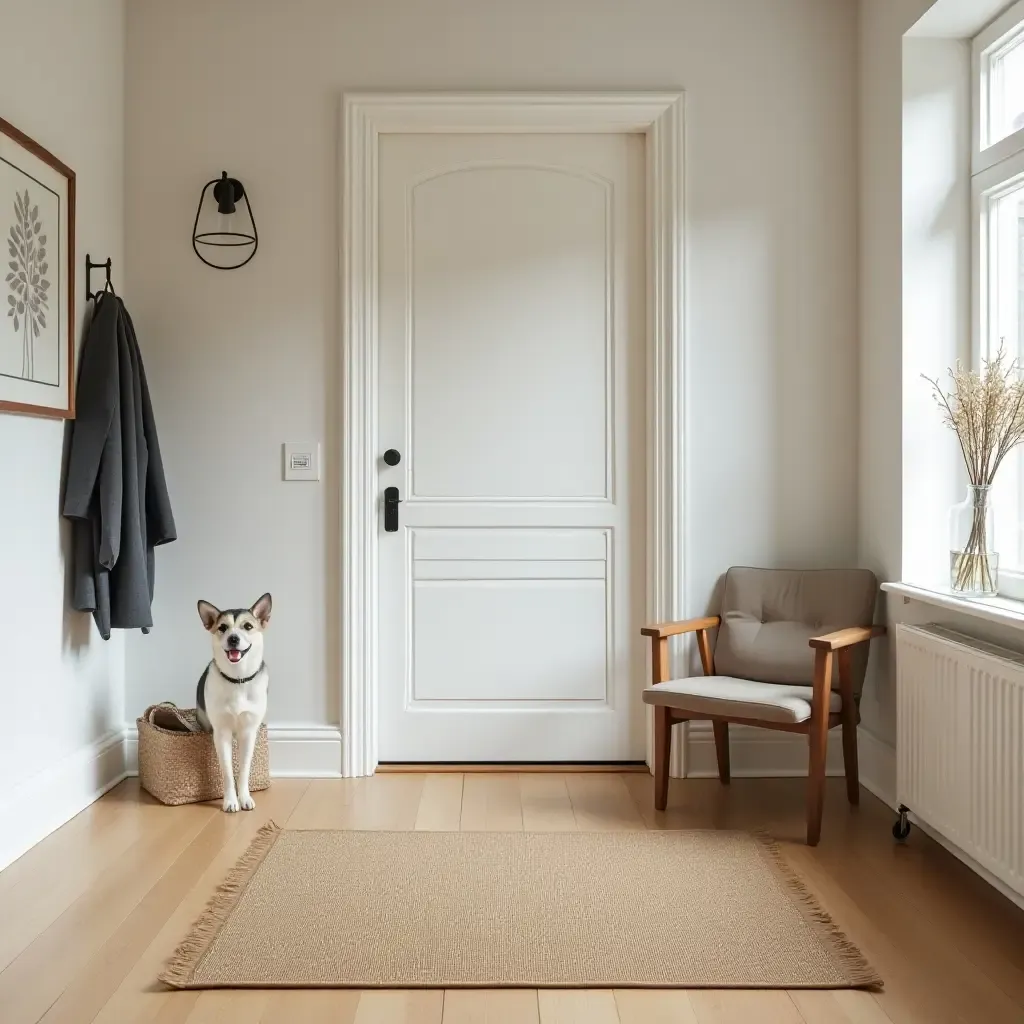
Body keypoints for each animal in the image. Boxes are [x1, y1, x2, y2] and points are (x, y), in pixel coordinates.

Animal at [195, 598, 272, 811]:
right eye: (222, 627)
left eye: (248, 626)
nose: (233, 639)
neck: (238, 679)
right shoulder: (221, 733)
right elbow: (228, 772)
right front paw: (230, 800)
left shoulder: (248, 732)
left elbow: (244, 770)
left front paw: (244, 797)